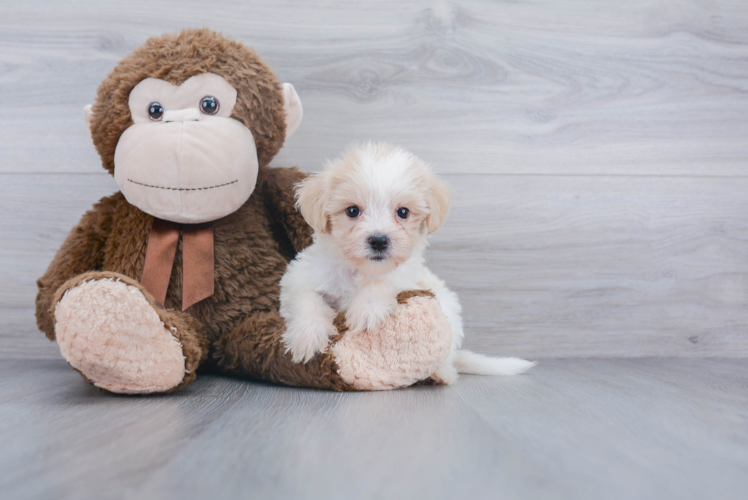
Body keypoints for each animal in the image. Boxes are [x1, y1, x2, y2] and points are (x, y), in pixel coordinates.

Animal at [280, 142, 532, 382]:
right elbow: (306, 298)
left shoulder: (408, 277)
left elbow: (385, 282)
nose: (379, 240)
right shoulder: (300, 277)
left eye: (403, 212)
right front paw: (307, 337)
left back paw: (441, 374)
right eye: (352, 211)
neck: (362, 271)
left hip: (448, 309)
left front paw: (368, 308)